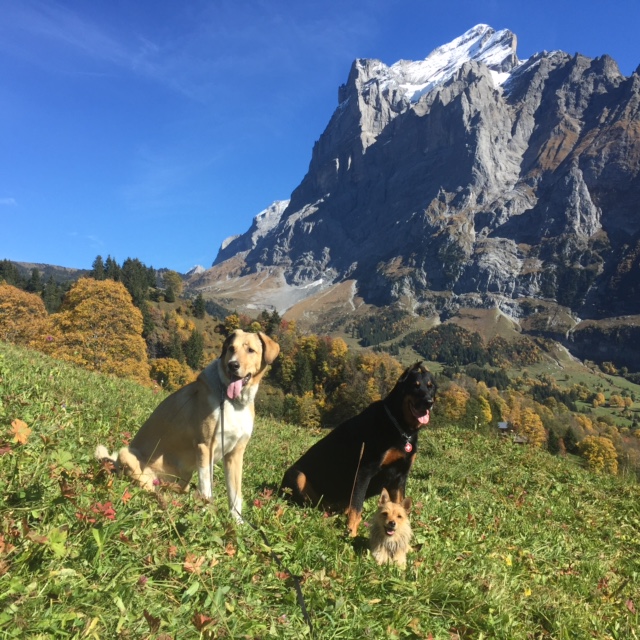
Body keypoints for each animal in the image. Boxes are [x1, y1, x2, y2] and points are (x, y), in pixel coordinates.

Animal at [96, 329, 279, 521]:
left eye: (250, 350)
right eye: (231, 348)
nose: (232, 365)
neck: (234, 402)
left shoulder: (235, 453)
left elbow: (235, 495)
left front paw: (238, 522)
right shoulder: (205, 447)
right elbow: (207, 488)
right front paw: (207, 515)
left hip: (184, 477)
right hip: (128, 455)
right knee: (149, 490)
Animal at [280, 362, 436, 536]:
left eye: (430, 387)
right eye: (415, 386)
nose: (429, 402)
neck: (402, 428)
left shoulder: (400, 477)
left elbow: (399, 505)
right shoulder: (365, 470)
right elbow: (357, 506)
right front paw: (351, 533)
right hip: (297, 476)